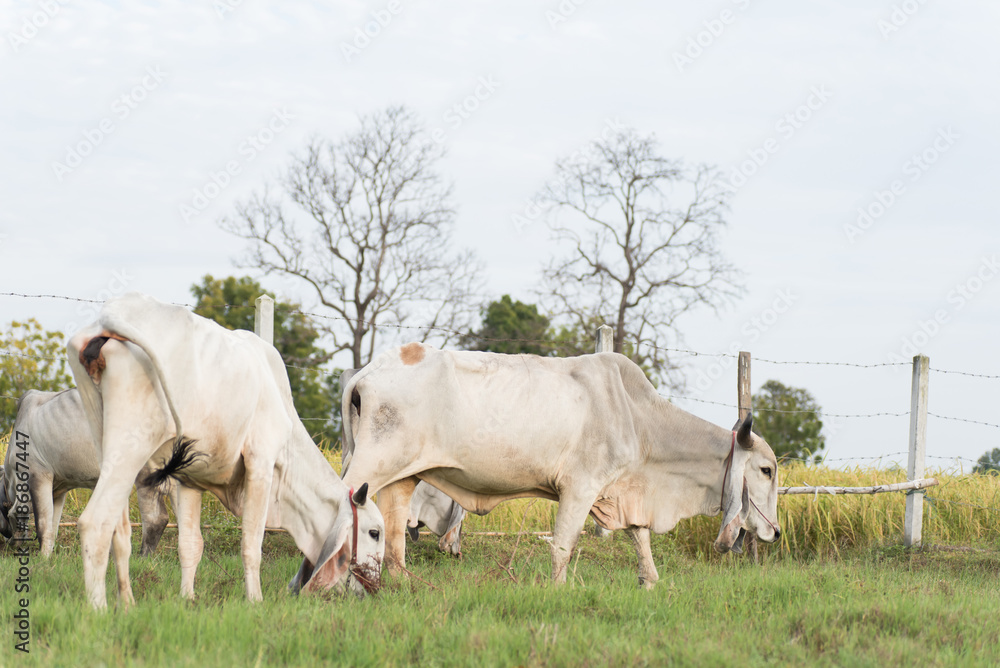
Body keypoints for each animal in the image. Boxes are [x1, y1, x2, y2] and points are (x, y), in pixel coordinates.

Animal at [0, 388, 178, 556]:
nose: (8, 539)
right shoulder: (59, 488)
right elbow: (53, 524)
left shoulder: (38, 475)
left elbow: (42, 524)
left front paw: (42, 557)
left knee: (155, 518)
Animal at [63, 292, 382, 612]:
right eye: (375, 533)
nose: (376, 588)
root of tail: (111, 316)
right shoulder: (261, 463)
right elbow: (251, 544)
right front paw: (255, 600)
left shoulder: (188, 479)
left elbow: (190, 545)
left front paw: (187, 597)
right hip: (133, 443)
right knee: (95, 522)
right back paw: (99, 609)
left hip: (106, 441)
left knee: (120, 529)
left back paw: (127, 602)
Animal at [344, 342, 780, 588]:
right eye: (767, 470)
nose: (775, 532)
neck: (637, 419)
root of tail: (368, 371)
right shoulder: (580, 487)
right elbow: (563, 546)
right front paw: (558, 590)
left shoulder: (624, 494)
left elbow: (640, 539)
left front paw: (650, 582)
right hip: (369, 466)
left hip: (403, 474)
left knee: (394, 531)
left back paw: (402, 581)